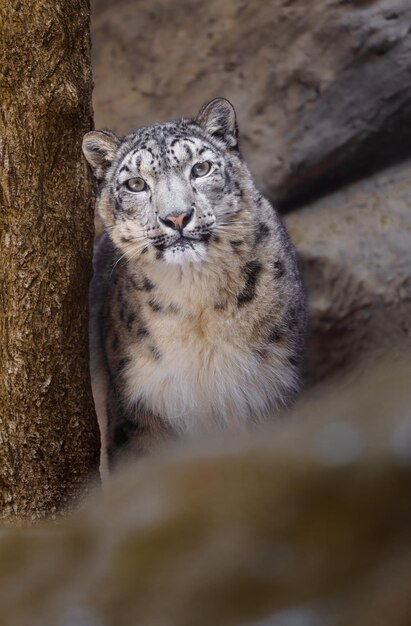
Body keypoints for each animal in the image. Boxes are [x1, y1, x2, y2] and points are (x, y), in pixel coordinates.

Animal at [83, 97, 308, 468]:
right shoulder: (138, 410)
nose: (177, 217)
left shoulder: (271, 387)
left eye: (200, 169)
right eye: (135, 184)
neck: (197, 300)